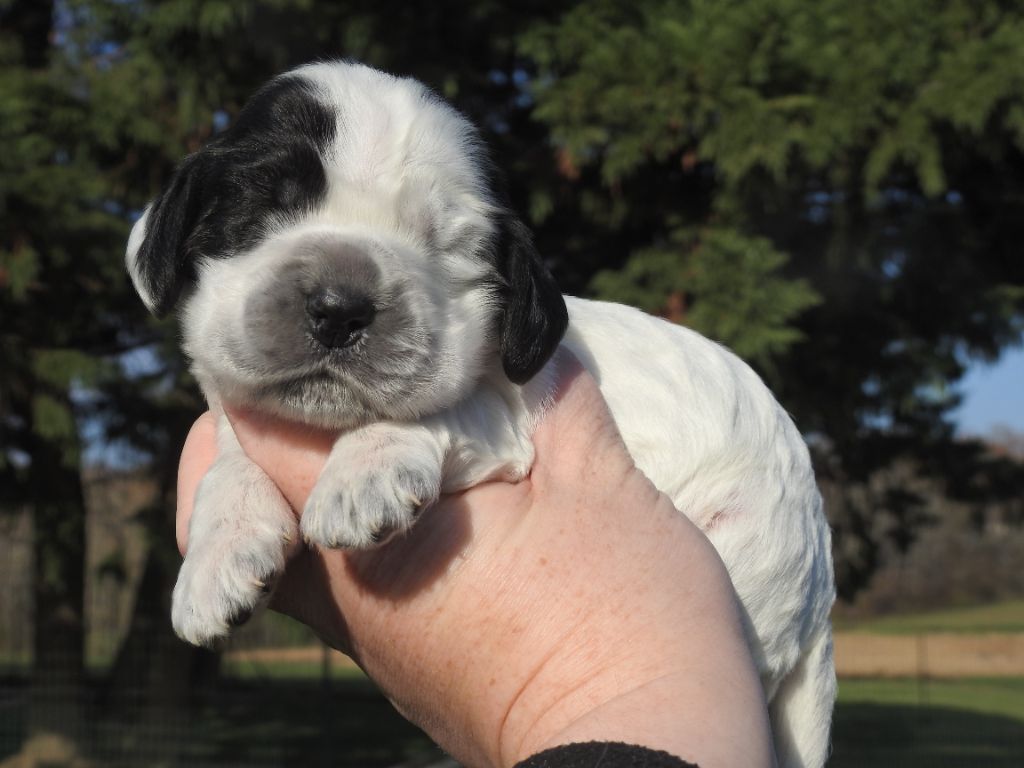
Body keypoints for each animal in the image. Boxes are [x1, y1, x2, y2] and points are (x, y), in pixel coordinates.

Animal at [123, 61, 835, 768]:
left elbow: (448, 404)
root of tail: (819, 591)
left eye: (443, 249)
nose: (340, 307)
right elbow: (228, 466)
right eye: (262, 205)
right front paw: (217, 559)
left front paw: (365, 473)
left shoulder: (512, 412)